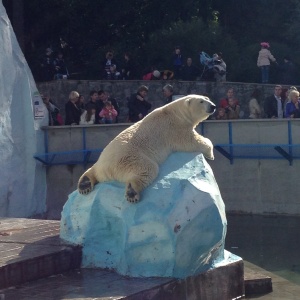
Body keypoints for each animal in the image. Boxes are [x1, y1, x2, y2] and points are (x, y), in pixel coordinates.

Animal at [78, 95, 216, 203]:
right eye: (201, 101)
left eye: (208, 98)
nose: (213, 106)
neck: (176, 112)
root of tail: (108, 169)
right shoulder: (176, 128)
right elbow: (192, 141)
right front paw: (210, 154)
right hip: (131, 158)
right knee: (148, 169)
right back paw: (132, 193)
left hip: (102, 161)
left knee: (92, 170)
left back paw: (84, 184)